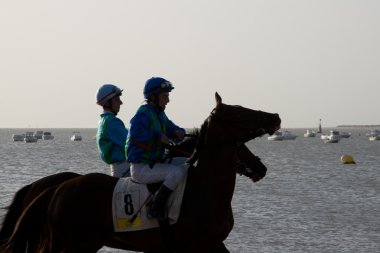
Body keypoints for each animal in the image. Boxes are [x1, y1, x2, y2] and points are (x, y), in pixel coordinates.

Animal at [0, 93, 280, 253]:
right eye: (238, 112)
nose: (276, 116)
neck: (205, 189)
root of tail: (54, 190)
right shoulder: (195, 244)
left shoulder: (210, 244)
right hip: (74, 245)